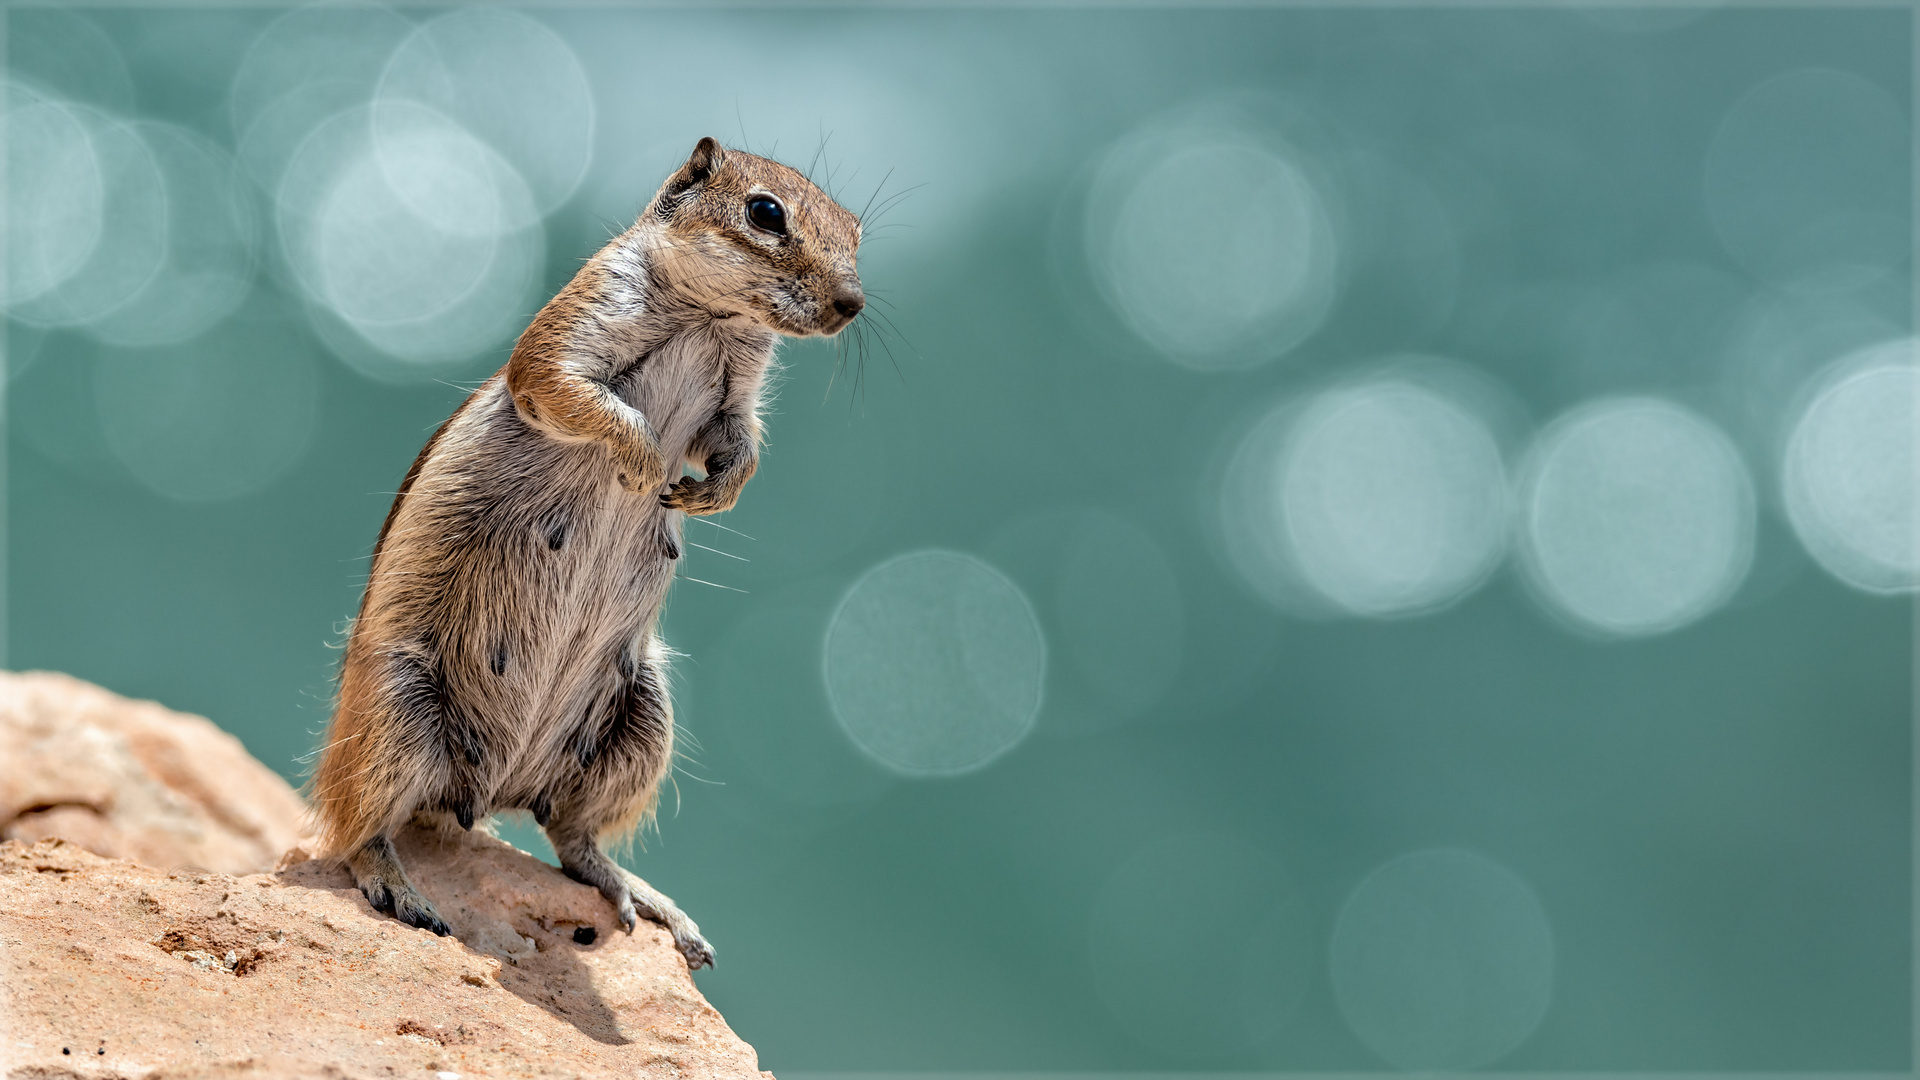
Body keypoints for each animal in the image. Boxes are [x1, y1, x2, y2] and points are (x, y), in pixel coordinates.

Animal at [311, 138, 867, 960]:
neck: (713, 317)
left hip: (642, 722)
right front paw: (642, 465)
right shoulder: (582, 319)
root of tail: (486, 793)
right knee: (355, 825)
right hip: (395, 709)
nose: (851, 304)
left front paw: (708, 491)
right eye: (766, 212)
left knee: (573, 835)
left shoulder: (738, 392)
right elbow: (565, 386)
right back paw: (401, 889)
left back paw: (648, 899)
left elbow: (740, 441)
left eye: (858, 231)